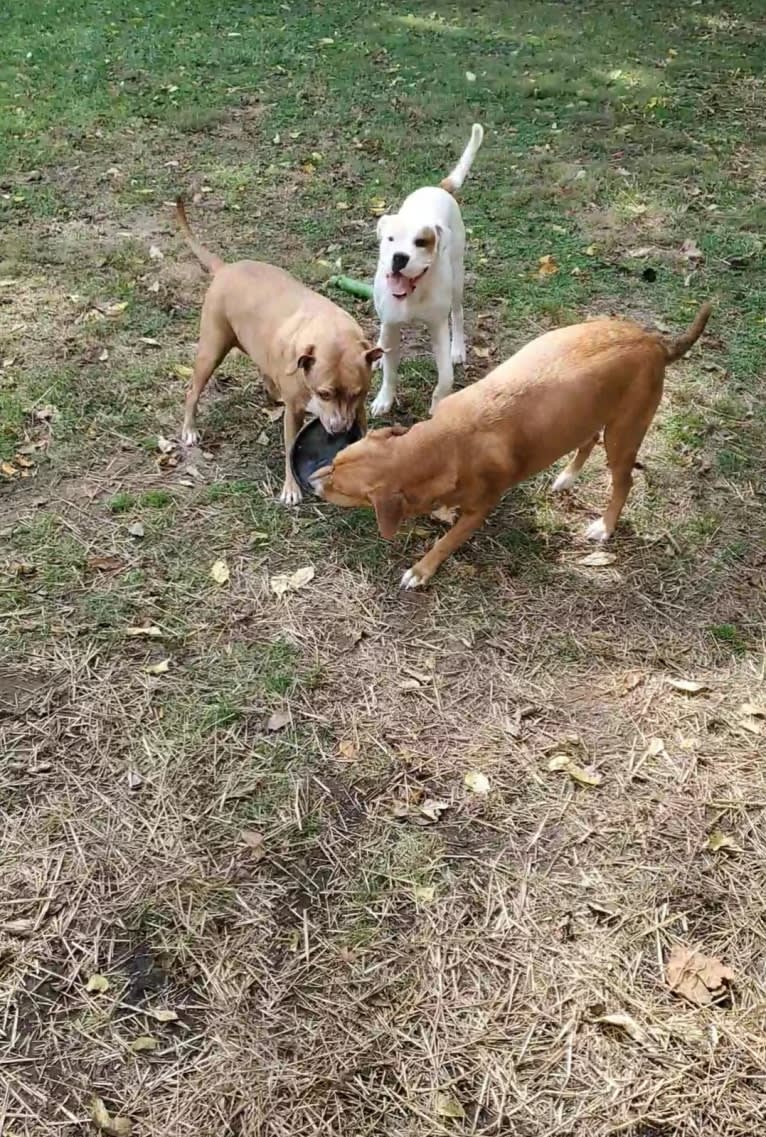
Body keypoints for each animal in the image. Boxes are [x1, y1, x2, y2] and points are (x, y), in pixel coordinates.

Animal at [175, 201, 379, 502]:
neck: (330, 331)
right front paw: (291, 489)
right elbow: (290, 448)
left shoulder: (359, 408)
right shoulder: (294, 414)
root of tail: (225, 268)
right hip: (210, 352)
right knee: (193, 390)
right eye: (324, 393)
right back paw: (190, 429)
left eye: (357, 393)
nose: (340, 429)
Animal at [311, 302, 709, 586]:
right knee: (588, 440)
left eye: (341, 488)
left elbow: (447, 541)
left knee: (623, 481)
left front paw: (422, 570)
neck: (445, 443)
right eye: (336, 459)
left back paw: (605, 526)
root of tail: (653, 341)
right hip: (586, 415)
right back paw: (567, 477)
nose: (313, 482)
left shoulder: (479, 511)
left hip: (623, 437)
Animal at [370, 124, 484, 418]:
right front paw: (384, 400)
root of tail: (439, 188)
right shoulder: (391, 324)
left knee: (458, 312)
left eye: (421, 242)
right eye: (390, 239)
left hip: (457, 278)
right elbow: (390, 372)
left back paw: (458, 350)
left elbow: (445, 377)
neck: (414, 292)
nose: (399, 258)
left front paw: (437, 404)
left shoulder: (437, 327)